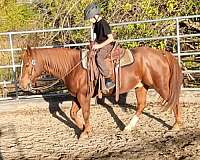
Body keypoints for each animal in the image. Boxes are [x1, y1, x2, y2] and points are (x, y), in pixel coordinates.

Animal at [19, 45, 183, 139]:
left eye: (27, 64)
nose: (22, 84)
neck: (73, 66)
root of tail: (161, 53)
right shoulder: (77, 96)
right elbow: (73, 113)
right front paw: (83, 129)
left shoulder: (83, 96)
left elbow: (85, 113)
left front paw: (86, 132)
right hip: (141, 86)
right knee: (141, 105)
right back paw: (128, 128)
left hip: (161, 86)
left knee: (174, 100)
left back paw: (176, 125)